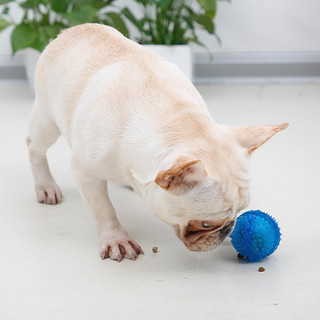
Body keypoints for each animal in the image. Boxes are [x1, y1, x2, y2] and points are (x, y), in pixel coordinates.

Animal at [26, 23, 288, 262]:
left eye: (241, 212)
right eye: (205, 224)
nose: (227, 230)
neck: (176, 122)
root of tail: (70, 31)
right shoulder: (85, 172)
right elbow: (103, 208)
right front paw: (116, 239)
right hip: (47, 122)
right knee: (34, 146)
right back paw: (45, 186)